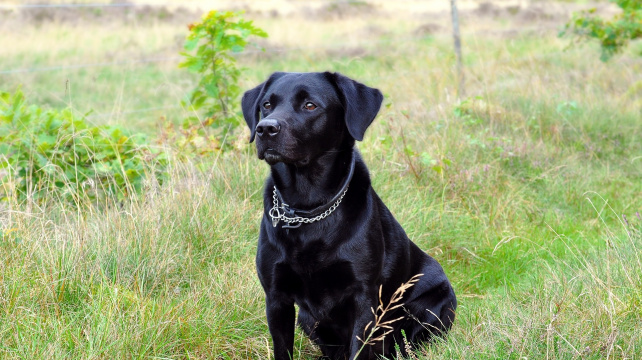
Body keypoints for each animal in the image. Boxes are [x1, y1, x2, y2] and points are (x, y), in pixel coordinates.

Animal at [241, 71, 456, 358]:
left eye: (310, 105)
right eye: (266, 105)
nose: (265, 128)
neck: (308, 207)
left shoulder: (363, 298)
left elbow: (358, 349)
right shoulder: (276, 298)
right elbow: (282, 349)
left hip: (431, 304)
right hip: (307, 319)